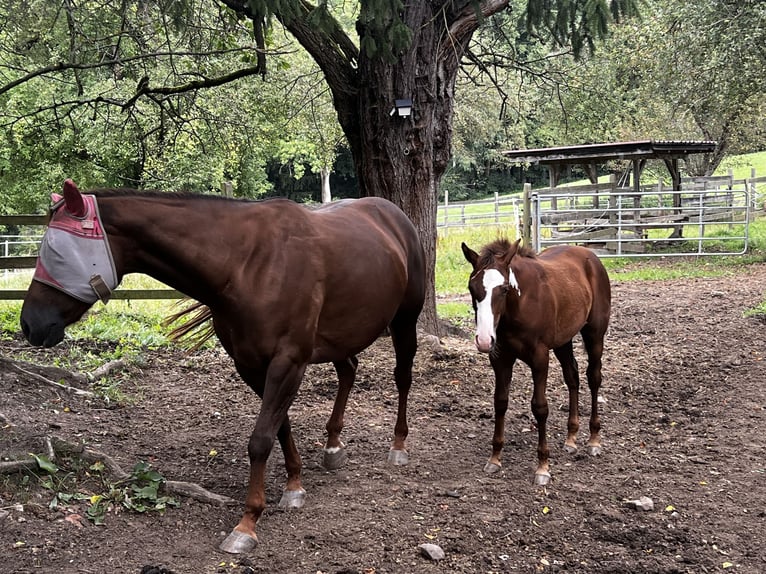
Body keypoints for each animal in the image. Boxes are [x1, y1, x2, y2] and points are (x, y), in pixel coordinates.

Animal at [20, 179, 426, 554]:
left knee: (402, 378)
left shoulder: (289, 361)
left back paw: (398, 445)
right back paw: (333, 445)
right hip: (341, 336)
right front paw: (294, 484)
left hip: (404, 322)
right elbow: (279, 426)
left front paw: (247, 524)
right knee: (349, 371)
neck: (246, 265)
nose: (30, 324)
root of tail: (394, 216)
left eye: (53, 251)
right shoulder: (250, 364)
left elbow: (261, 439)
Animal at [461, 239, 611, 485]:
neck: (519, 306)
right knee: (572, 376)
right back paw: (571, 438)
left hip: (595, 334)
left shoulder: (540, 358)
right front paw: (495, 458)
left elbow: (540, 407)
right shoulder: (500, 358)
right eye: (472, 288)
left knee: (593, 378)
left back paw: (594, 440)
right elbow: (500, 402)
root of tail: (589, 255)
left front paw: (542, 467)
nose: (483, 340)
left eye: (504, 289)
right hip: (563, 340)